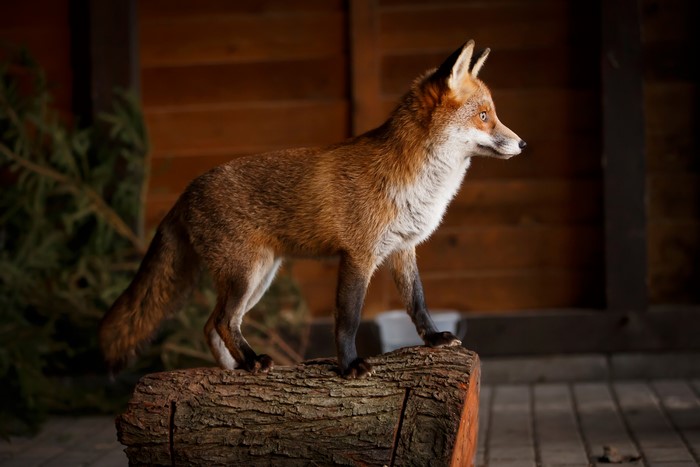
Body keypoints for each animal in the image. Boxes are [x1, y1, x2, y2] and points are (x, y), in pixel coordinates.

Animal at [99, 39, 526, 379]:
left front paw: (434, 339)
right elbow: (348, 320)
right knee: (221, 321)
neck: (416, 184)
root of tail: (186, 191)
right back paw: (251, 362)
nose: (522, 144)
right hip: (246, 275)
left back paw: (236, 369)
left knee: (213, 326)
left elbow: (417, 302)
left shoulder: (403, 249)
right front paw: (350, 365)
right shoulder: (357, 255)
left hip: (260, 277)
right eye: (483, 116)